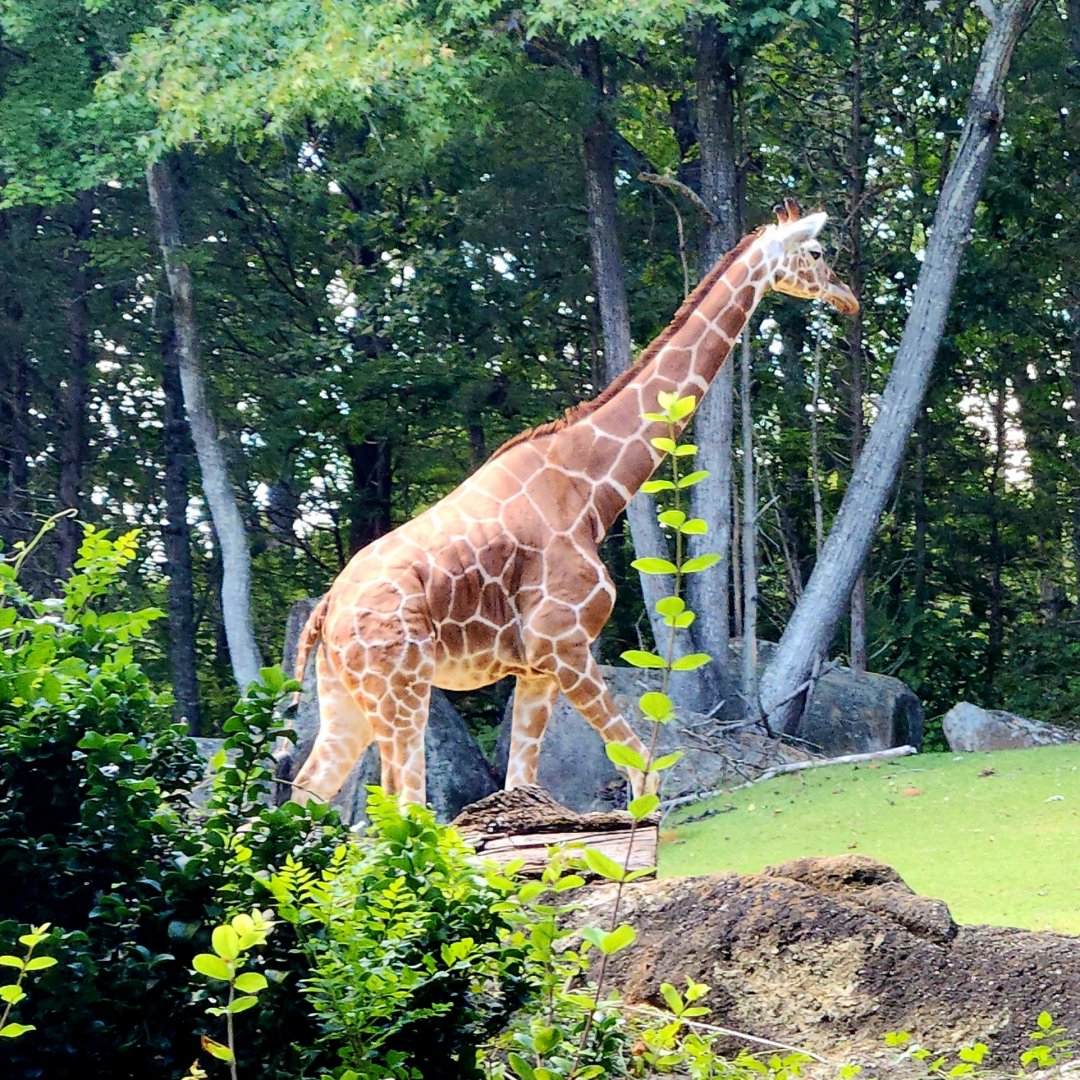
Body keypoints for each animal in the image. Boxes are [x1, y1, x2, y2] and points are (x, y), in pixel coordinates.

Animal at [287, 199, 858, 809]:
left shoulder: (536, 668)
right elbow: (644, 774)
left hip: (347, 698)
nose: (848, 297)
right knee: (404, 803)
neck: (592, 489)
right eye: (816, 253)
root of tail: (326, 611)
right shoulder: (563, 646)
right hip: (400, 688)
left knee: (308, 790)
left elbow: (525, 785)